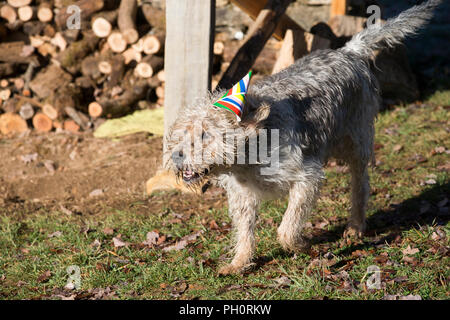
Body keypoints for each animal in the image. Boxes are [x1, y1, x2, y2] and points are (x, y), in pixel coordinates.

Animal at [164, 0, 440, 276]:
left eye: (205, 134)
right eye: (181, 132)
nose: (176, 156)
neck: (249, 154)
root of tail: (347, 52)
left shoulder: (306, 177)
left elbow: (287, 227)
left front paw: (302, 245)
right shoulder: (242, 196)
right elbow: (244, 232)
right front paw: (239, 263)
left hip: (356, 143)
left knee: (360, 184)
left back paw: (355, 226)